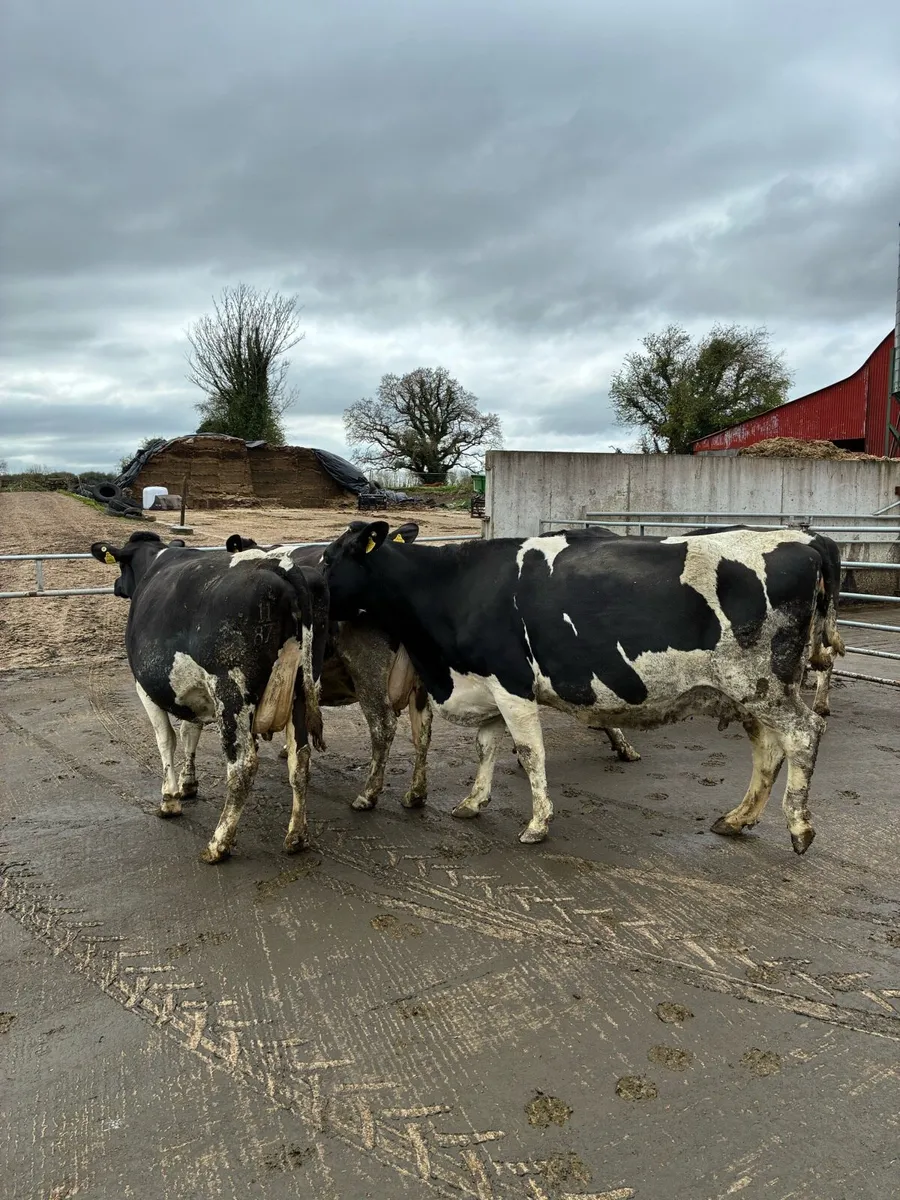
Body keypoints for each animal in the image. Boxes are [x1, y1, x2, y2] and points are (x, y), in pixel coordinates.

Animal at [90, 530, 328, 864]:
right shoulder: (194, 692)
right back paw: (296, 836)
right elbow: (190, 732)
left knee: (242, 766)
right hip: (302, 692)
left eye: (122, 566)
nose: (115, 586)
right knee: (300, 759)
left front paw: (170, 799)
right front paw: (188, 784)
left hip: (231, 691)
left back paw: (218, 844)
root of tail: (281, 565)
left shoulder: (146, 688)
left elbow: (166, 739)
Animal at [224, 522, 433, 812]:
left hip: (368, 673)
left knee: (384, 726)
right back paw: (416, 793)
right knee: (423, 727)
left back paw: (368, 794)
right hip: (420, 682)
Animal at [321, 522, 845, 854]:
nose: (310, 588)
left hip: (764, 684)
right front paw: (472, 803)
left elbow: (530, 752)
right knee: (769, 749)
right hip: (749, 692)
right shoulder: (487, 685)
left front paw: (537, 823)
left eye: (329, 560)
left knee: (804, 734)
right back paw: (737, 819)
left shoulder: (512, 684)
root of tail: (806, 540)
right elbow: (486, 747)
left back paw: (799, 828)